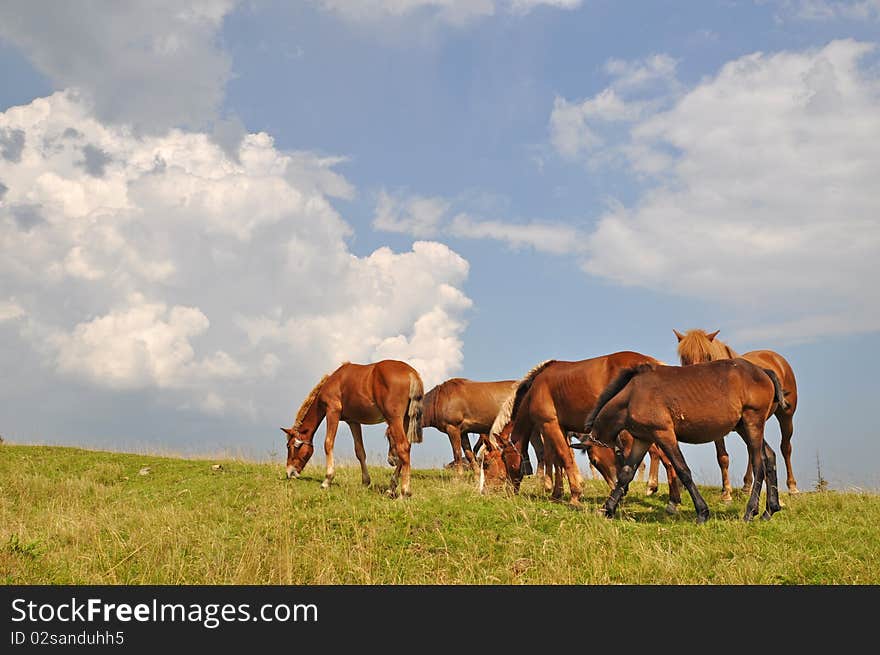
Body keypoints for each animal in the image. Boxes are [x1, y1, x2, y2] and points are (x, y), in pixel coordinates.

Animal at [278, 358, 422, 498]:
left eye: (290, 446)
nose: (289, 472)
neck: (334, 380)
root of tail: (412, 373)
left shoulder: (332, 411)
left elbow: (328, 443)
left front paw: (327, 480)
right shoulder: (353, 421)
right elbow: (359, 451)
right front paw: (365, 482)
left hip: (394, 419)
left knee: (403, 447)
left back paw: (404, 492)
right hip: (405, 420)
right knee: (404, 449)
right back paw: (391, 488)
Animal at [482, 352, 660, 510]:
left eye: (488, 463)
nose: (487, 491)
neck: (534, 389)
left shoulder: (550, 425)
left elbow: (563, 457)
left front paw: (574, 494)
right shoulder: (559, 428)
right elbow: (557, 459)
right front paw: (556, 493)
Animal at [584, 358, 784, 524]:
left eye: (594, 461)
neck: (633, 394)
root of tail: (764, 371)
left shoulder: (664, 434)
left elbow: (683, 471)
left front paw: (702, 512)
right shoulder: (643, 439)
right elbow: (627, 473)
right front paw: (607, 509)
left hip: (752, 424)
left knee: (759, 466)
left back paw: (750, 512)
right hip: (744, 427)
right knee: (769, 457)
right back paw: (769, 510)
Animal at [672, 328, 796, 498]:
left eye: (707, 355)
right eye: (684, 357)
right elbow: (722, 457)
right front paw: (726, 492)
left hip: (786, 416)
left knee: (786, 447)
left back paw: (793, 487)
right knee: (752, 451)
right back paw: (747, 486)